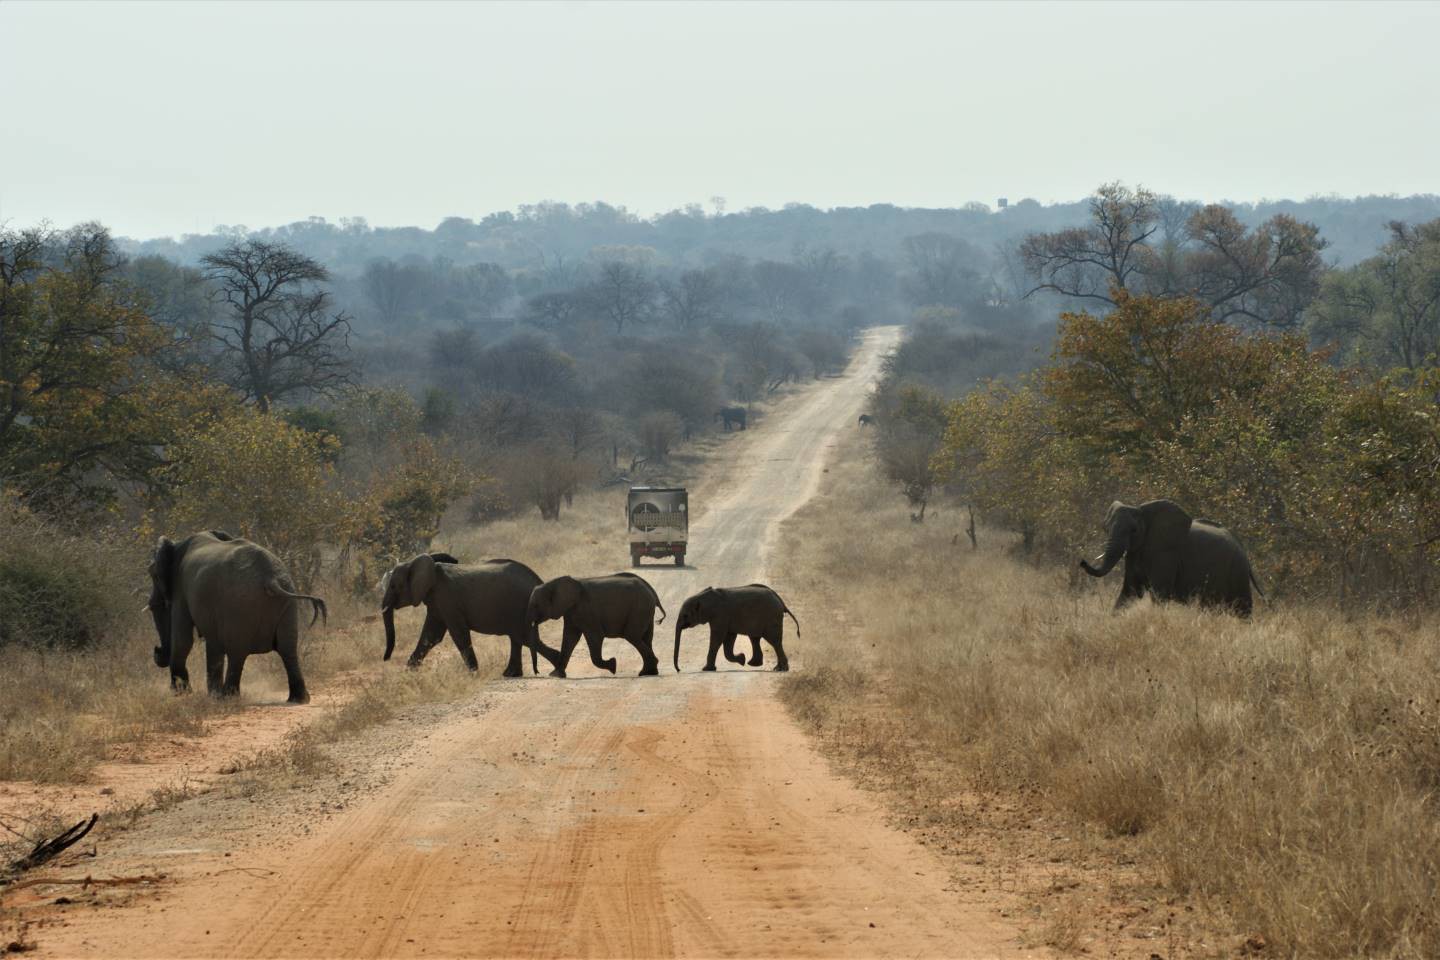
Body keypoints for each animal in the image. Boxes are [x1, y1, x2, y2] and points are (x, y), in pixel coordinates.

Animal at [146, 529, 324, 702]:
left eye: (153, 575)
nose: (156, 650)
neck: (176, 545)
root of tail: (271, 578)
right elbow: (213, 643)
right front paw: (211, 695)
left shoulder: (181, 590)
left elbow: (183, 640)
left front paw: (182, 693)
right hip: (286, 603)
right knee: (288, 649)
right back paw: (299, 699)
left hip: (239, 605)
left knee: (237, 652)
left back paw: (229, 697)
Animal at [380, 552, 558, 679]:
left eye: (393, 586)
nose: (385, 659)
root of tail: (538, 582)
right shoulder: (437, 603)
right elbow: (431, 636)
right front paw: (406, 676)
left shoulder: (447, 600)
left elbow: (458, 634)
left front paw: (474, 674)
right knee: (518, 638)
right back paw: (513, 674)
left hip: (520, 605)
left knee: (523, 637)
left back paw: (556, 668)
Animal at [527, 575, 665, 679]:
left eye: (535, 605)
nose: (537, 672)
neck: (553, 583)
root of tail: (652, 592)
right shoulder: (570, 611)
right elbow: (569, 638)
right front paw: (555, 675)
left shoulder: (587, 610)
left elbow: (595, 636)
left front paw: (613, 665)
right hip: (645, 611)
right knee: (646, 638)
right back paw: (649, 672)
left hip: (639, 609)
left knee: (632, 635)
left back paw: (646, 671)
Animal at [1077, 503, 1267, 616]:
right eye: (1105, 528)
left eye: (1134, 530)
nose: (1082, 561)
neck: (1144, 513)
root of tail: (1242, 548)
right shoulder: (1135, 554)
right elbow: (1130, 591)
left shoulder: (1165, 553)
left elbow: (1159, 594)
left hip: (1237, 571)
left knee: (1243, 608)